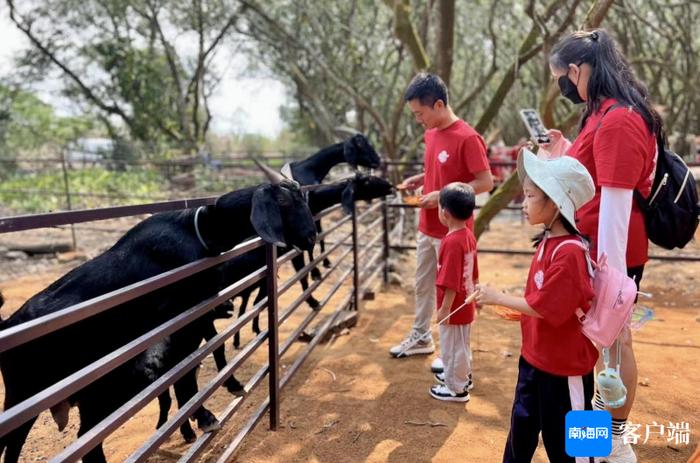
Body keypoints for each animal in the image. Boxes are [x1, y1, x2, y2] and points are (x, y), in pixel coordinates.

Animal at [0, 179, 318, 462]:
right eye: (284, 202)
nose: (311, 236)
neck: (201, 231)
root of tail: (8, 324)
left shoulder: (201, 309)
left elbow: (205, 352)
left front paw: (228, 389)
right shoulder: (183, 316)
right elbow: (185, 369)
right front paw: (205, 417)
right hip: (23, 394)